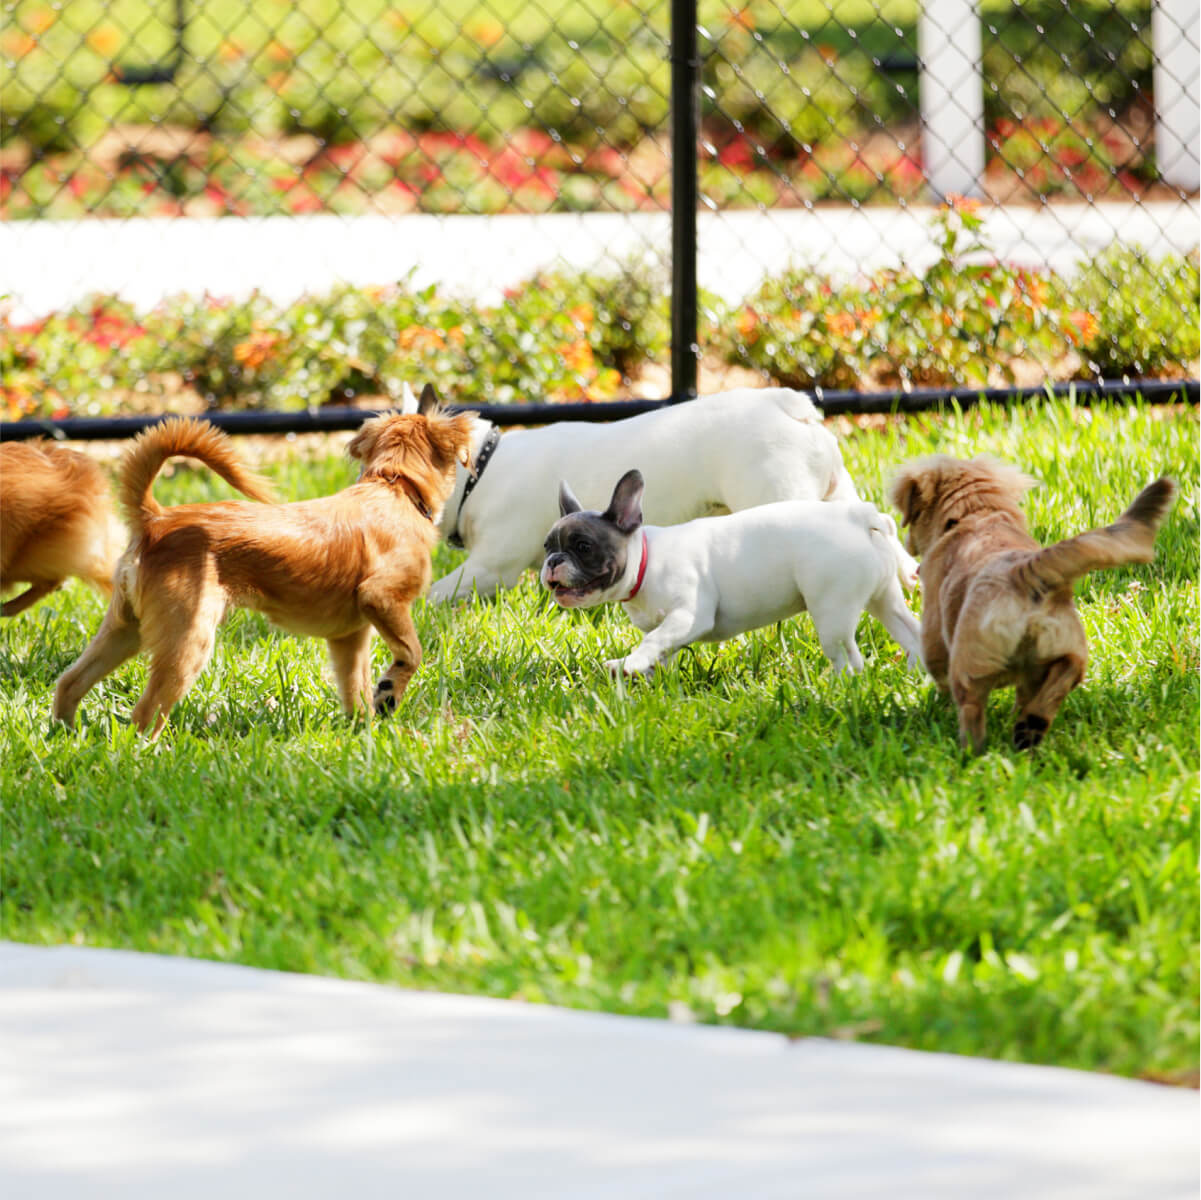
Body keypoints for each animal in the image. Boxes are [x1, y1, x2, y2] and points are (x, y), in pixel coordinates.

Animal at [54, 393, 473, 730]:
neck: (394, 486)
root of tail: (156, 519)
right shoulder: (382, 598)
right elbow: (412, 653)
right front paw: (389, 692)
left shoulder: (348, 637)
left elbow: (355, 687)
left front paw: (365, 731)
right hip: (188, 636)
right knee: (145, 714)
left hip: (126, 628)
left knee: (70, 682)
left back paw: (66, 735)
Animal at [540, 466, 912, 677]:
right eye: (547, 546)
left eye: (583, 547)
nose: (553, 561)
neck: (645, 559)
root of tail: (859, 517)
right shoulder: (674, 626)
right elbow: (663, 648)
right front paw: (642, 671)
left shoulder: (689, 615)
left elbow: (654, 639)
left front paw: (633, 662)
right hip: (884, 598)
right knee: (910, 632)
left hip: (832, 612)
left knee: (850, 660)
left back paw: (833, 685)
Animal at [893, 456, 1172, 749]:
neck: (976, 514)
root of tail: (1023, 573)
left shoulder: (934, 634)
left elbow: (938, 673)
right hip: (1065, 651)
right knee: (1059, 682)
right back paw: (1029, 728)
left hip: (968, 668)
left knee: (972, 710)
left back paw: (972, 751)